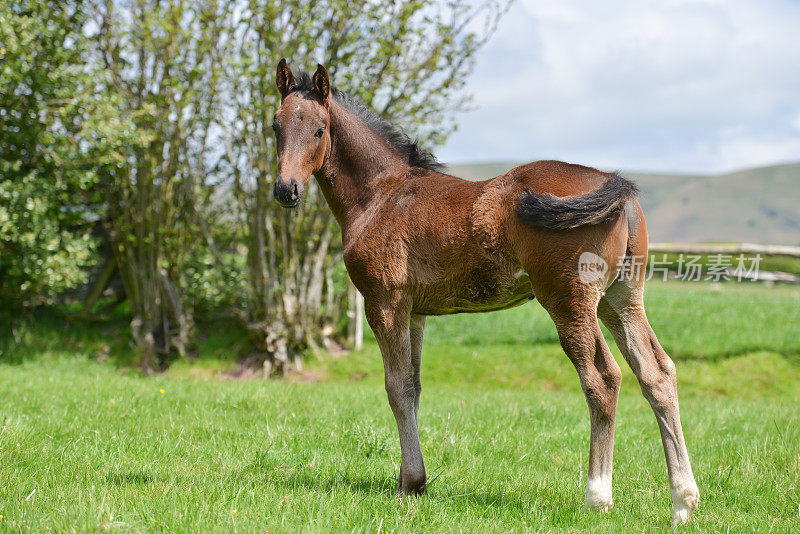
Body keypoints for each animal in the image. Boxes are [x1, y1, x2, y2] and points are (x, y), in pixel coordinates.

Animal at [272, 60, 696, 524]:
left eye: (318, 130)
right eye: (276, 125)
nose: (286, 190)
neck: (380, 194)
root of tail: (614, 186)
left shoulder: (385, 302)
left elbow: (396, 387)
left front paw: (409, 485)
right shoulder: (415, 311)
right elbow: (414, 387)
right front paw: (414, 481)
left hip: (569, 301)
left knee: (603, 379)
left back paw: (597, 497)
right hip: (620, 301)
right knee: (657, 374)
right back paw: (684, 501)